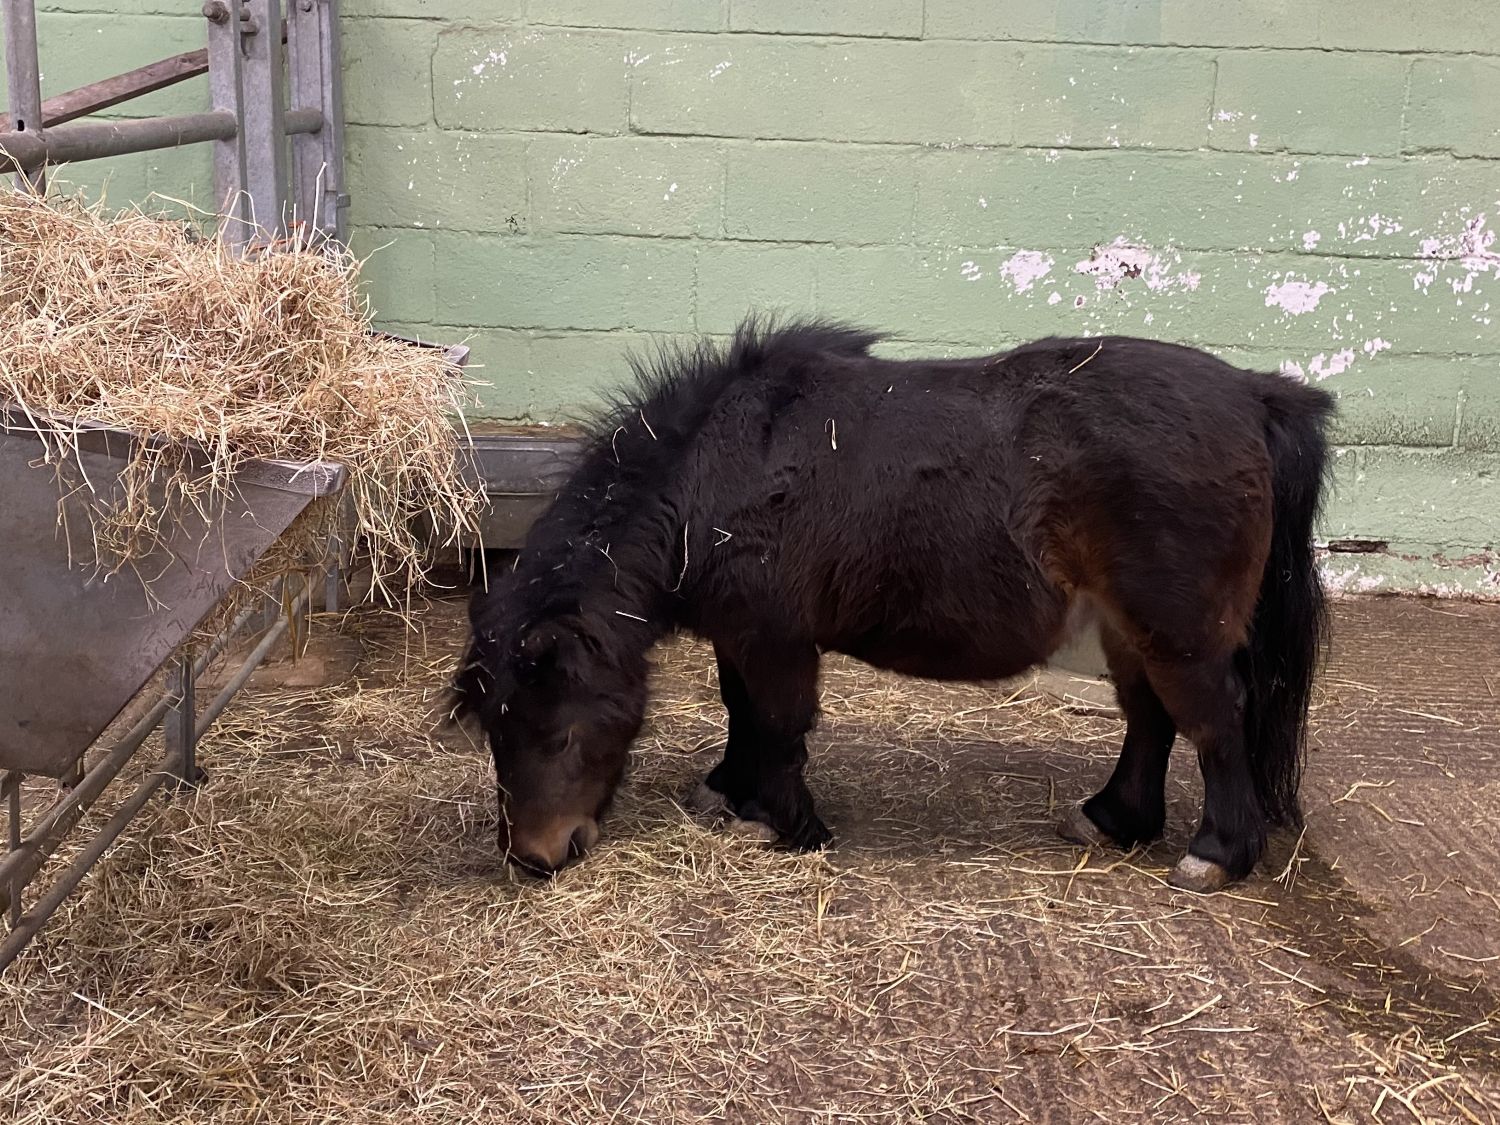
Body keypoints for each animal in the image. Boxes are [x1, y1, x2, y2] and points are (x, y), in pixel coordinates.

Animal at [452, 318, 1334, 894]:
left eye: (561, 732)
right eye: (494, 730)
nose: (535, 856)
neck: (713, 476)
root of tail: (1255, 395)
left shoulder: (776, 637)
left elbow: (779, 724)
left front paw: (784, 822)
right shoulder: (741, 632)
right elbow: (742, 712)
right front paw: (729, 791)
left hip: (1180, 631)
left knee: (1214, 722)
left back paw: (1216, 853)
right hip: (1129, 625)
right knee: (1150, 718)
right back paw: (1115, 818)